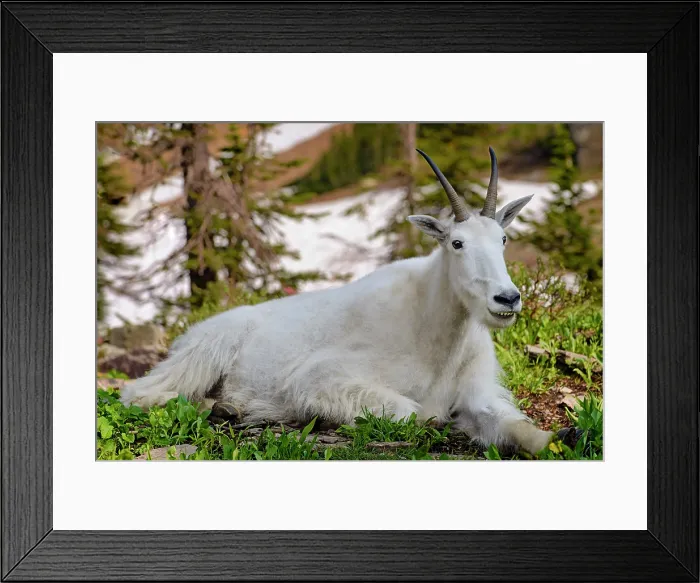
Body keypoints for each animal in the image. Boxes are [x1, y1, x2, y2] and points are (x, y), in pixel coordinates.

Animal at [120, 147, 555, 455]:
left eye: (503, 238)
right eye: (457, 243)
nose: (507, 299)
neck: (436, 334)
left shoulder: (478, 394)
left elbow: (513, 424)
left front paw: (555, 438)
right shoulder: (322, 379)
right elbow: (416, 412)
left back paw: (229, 408)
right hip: (202, 355)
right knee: (140, 393)